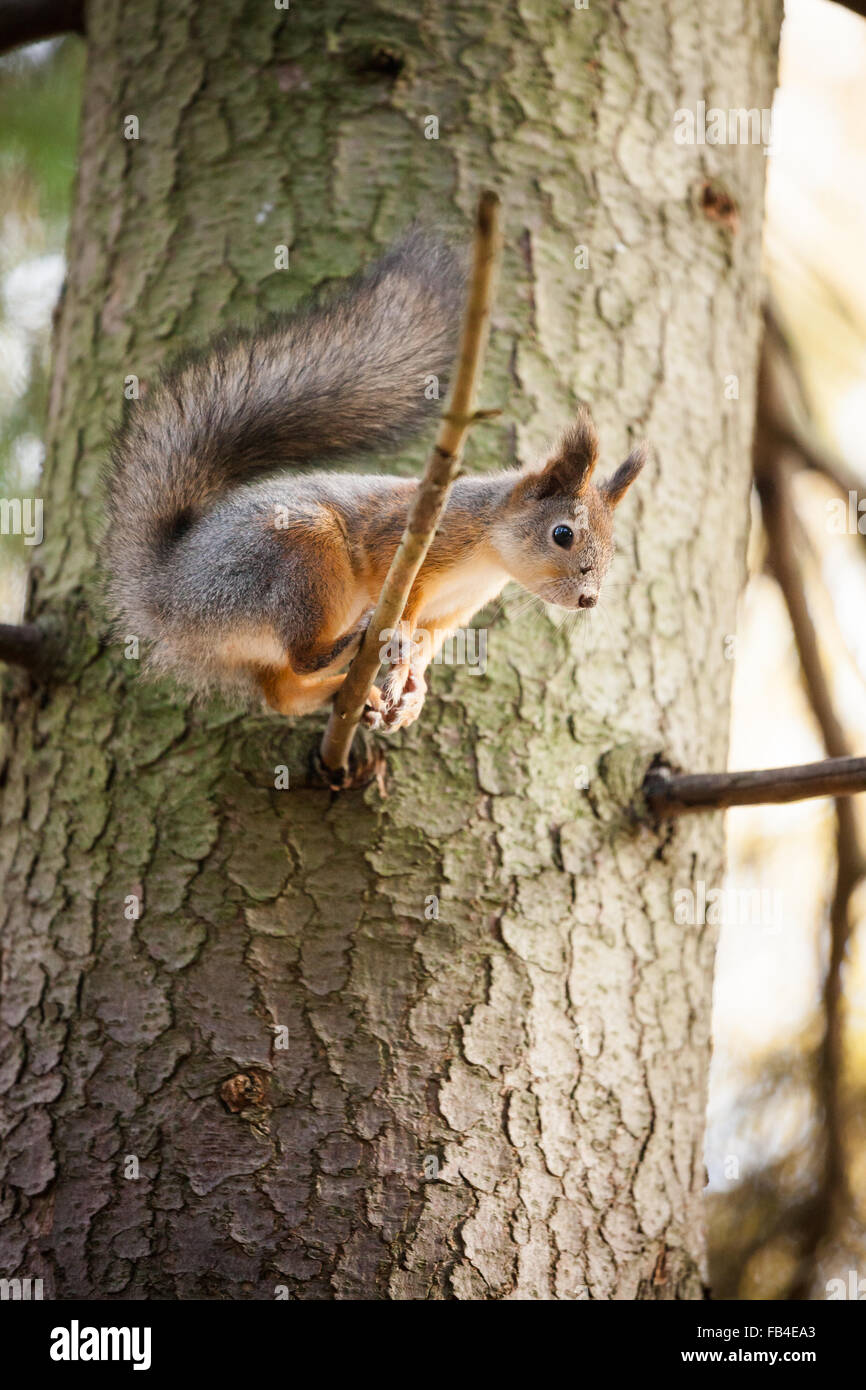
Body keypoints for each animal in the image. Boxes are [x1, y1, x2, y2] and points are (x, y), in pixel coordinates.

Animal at [103, 230, 644, 728]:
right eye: (562, 533)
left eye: (614, 549)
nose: (589, 599)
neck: (488, 556)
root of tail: (164, 593)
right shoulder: (410, 541)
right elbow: (397, 592)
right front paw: (397, 652)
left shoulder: (451, 612)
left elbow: (425, 646)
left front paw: (413, 689)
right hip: (289, 556)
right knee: (301, 655)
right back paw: (347, 648)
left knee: (282, 694)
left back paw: (347, 693)